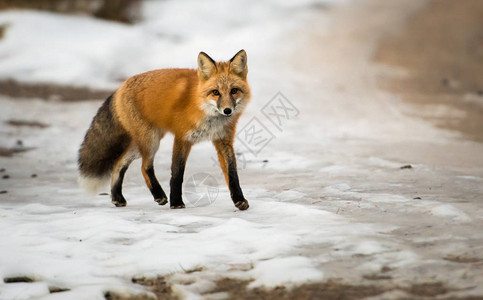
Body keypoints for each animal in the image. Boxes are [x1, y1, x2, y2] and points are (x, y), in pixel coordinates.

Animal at [77, 50, 251, 210]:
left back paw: (117, 197)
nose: (227, 111)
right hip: (150, 141)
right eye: (215, 92)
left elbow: (232, 173)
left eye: (234, 90)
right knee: (144, 167)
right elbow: (177, 173)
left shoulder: (224, 140)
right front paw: (176, 202)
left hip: (142, 144)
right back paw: (159, 195)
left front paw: (239, 200)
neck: (206, 113)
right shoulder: (182, 138)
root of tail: (120, 87)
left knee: (118, 164)